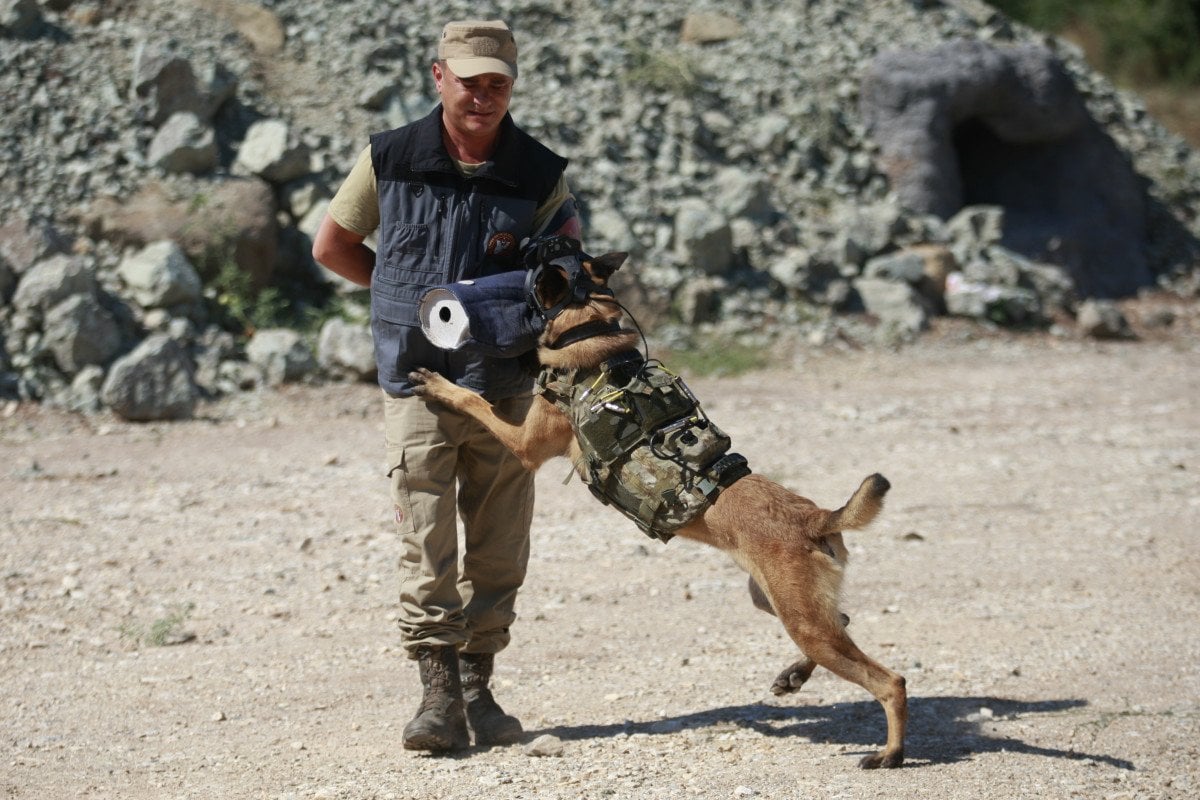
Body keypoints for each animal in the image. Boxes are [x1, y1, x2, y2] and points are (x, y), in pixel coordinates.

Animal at [408, 250, 902, 767]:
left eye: (537, 264)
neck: (594, 335)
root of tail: (816, 516)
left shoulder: (524, 443)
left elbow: (474, 401)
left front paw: (439, 384)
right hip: (778, 602)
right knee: (843, 622)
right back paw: (795, 676)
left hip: (803, 620)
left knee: (891, 681)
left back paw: (890, 752)